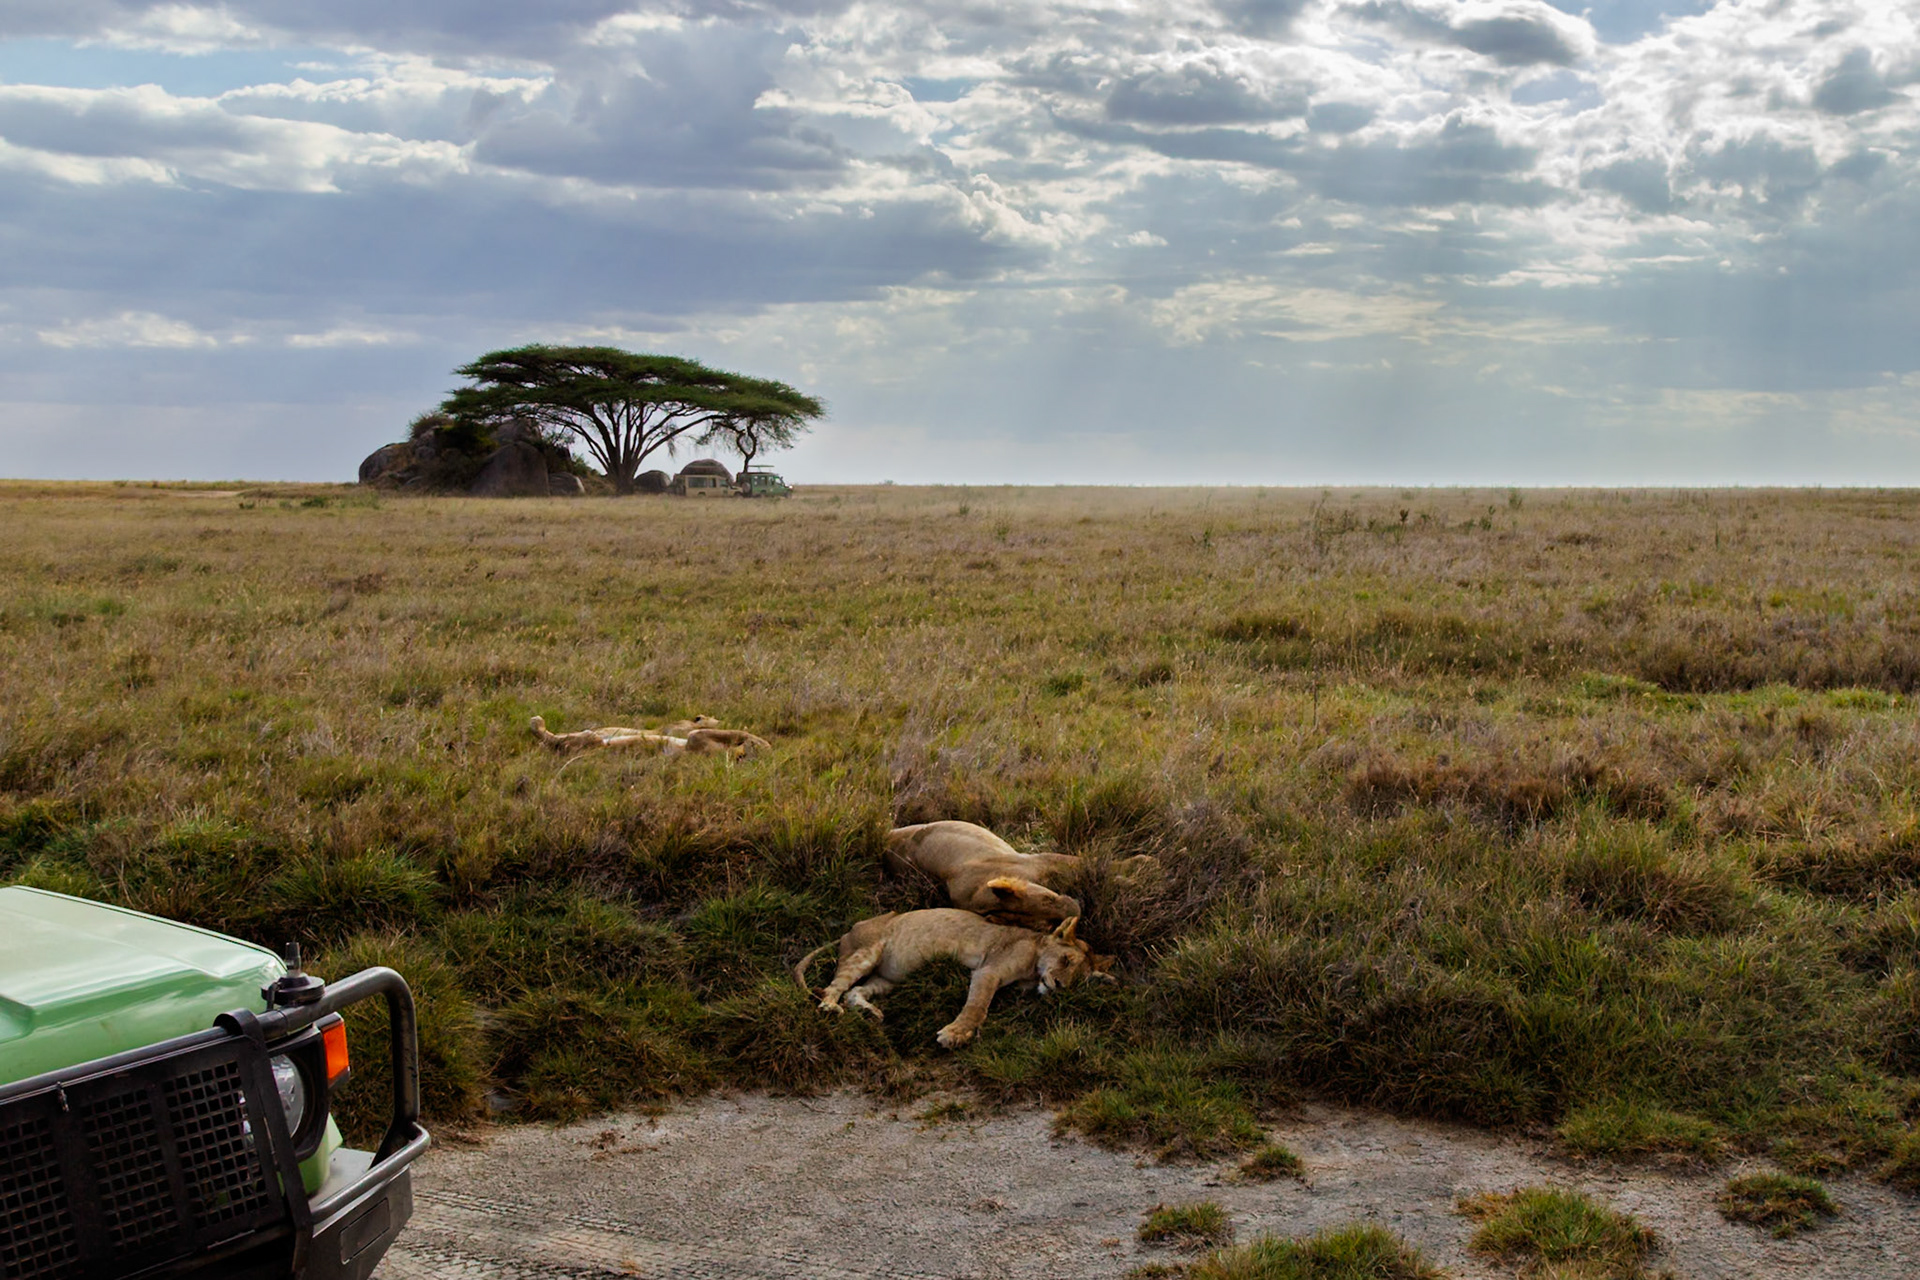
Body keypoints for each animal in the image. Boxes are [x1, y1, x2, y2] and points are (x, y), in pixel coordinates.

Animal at [792, 909, 1112, 1048]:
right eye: (1065, 960)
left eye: (1077, 982)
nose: (1058, 987)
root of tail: (850, 929)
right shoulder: (988, 970)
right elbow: (977, 1007)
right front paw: (955, 1035)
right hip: (867, 951)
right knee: (835, 986)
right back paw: (829, 1006)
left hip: (888, 978)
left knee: (854, 992)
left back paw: (871, 1013)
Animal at [884, 820, 1159, 927]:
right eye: (1046, 924)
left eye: (1046, 900)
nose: (1075, 911)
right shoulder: (1039, 862)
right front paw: (1136, 878)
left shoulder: (1038, 860)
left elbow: (1084, 864)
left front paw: (1145, 865)